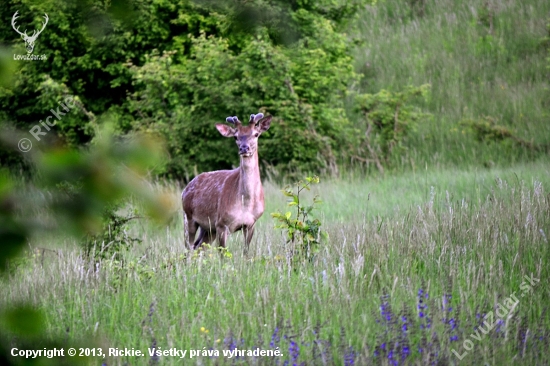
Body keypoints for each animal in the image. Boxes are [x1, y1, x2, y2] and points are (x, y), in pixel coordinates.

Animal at [183, 113, 274, 253]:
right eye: (236, 136)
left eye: (256, 134)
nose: (244, 148)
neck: (245, 203)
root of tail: (185, 189)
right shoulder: (222, 223)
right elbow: (223, 253)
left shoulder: (251, 223)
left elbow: (246, 252)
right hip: (188, 217)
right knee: (189, 248)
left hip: (208, 228)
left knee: (199, 246)